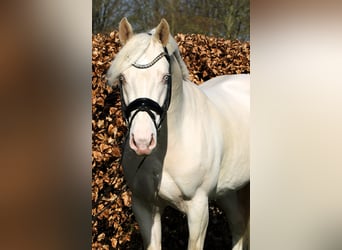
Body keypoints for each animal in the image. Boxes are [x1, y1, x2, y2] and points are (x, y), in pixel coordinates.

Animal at [107, 17, 248, 250]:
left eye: (165, 77)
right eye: (123, 79)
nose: (143, 141)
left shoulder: (198, 208)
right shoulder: (145, 207)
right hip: (229, 191)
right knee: (238, 226)